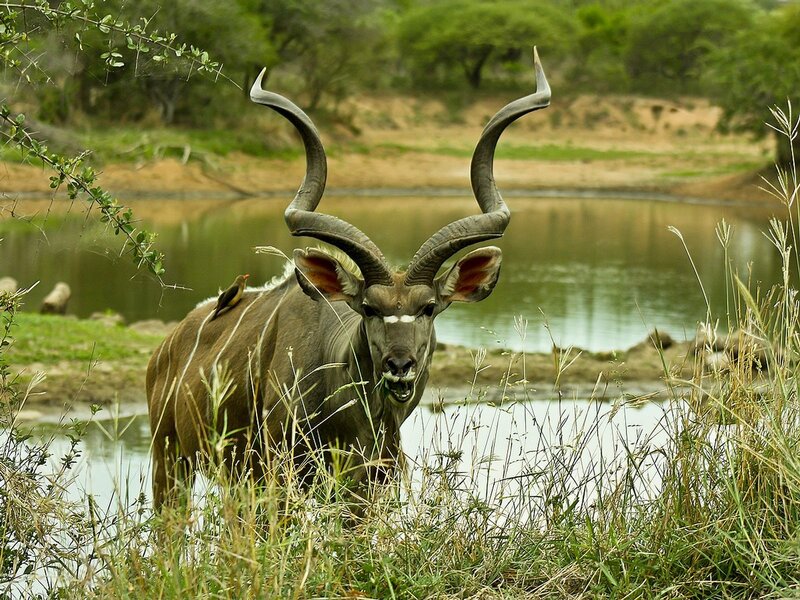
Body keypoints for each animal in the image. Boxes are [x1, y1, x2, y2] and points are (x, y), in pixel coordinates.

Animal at [146, 50, 550, 510]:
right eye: (369, 308)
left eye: (429, 307)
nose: (399, 366)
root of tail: (166, 346)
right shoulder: (278, 480)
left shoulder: (365, 489)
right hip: (171, 460)